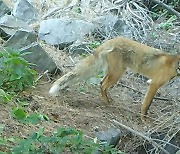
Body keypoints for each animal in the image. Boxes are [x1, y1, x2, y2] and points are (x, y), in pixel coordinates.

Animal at [49, 36, 180, 121]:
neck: (175, 66)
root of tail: (111, 40)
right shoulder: (154, 84)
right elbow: (146, 105)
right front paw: (144, 120)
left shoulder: (152, 82)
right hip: (117, 73)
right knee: (102, 85)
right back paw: (107, 103)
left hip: (113, 72)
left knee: (101, 83)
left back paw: (109, 100)